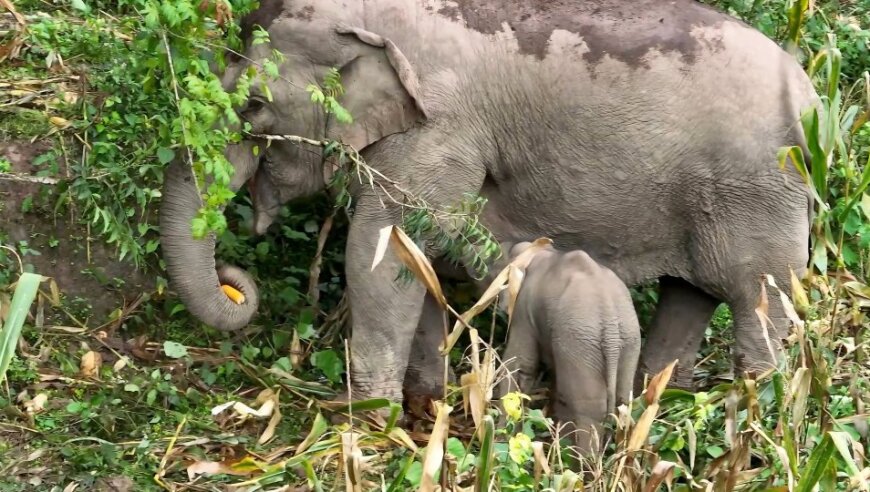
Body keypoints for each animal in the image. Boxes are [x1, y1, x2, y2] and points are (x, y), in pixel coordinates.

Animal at [160, 0, 820, 408]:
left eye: (254, 106)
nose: (233, 282)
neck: (371, 17)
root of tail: (818, 104)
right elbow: (418, 255)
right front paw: (423, 404)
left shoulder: (439, 127)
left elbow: (380, 253)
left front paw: (367, 423)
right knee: (689, 297)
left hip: (759, 194)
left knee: (759, 307)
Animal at [498, 242, 640, 454]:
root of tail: (610, 324)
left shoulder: (523, 308)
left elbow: (520, 364)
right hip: (627, 339)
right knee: (622, 402)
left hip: (580, 340)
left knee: (586, 408)